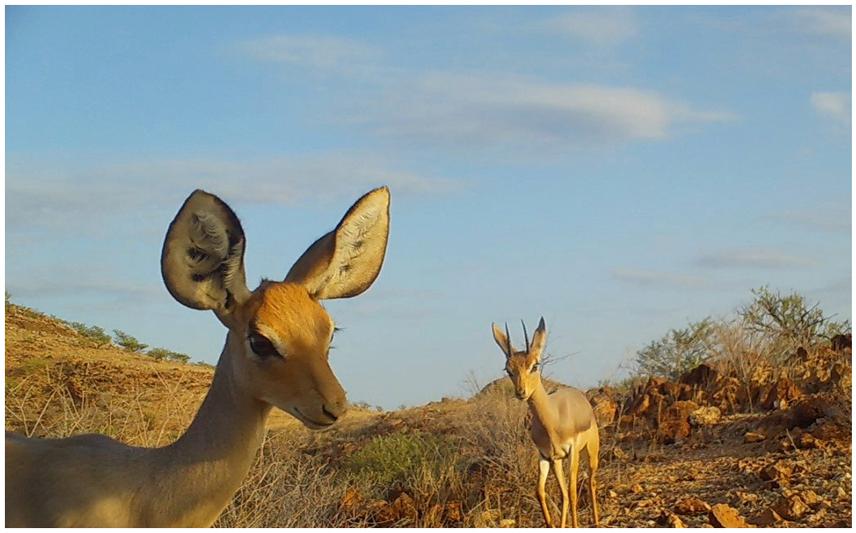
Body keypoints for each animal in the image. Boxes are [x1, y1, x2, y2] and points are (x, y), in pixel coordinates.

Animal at [488, 318, 600, 524]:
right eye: (508, 370)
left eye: (534, 365)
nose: (521, 392)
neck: (553, 420)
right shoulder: (547, 456)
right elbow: (541, 492)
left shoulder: (571, 452)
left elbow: (571, 492)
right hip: (559, 460)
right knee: (565, 492)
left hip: (590, 451)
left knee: (590, 481)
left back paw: (596, 522)